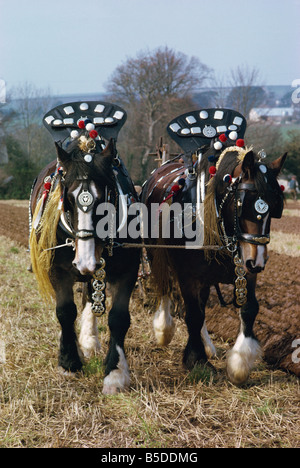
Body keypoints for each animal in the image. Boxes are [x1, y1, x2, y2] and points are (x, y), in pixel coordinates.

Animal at [29, 100, 140, 394]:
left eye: (107, 197)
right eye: (67, 199)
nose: (86, 261)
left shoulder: (128, 270)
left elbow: (118, 317)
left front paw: (115, 373)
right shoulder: (57, 269)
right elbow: (65, 311)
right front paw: (69, 362)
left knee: (91, 295)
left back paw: (89, 340)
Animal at [141, 108, 286, 386]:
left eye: (275, 207)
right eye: (244, 204)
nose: (258, 261)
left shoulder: (244, 267)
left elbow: (248, 309)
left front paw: (239, 363)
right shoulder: (187, 274)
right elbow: (192, 313)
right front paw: (196, 360)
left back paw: (208, 345)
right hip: (156, 255)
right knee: (165, 288)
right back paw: (164, 328)